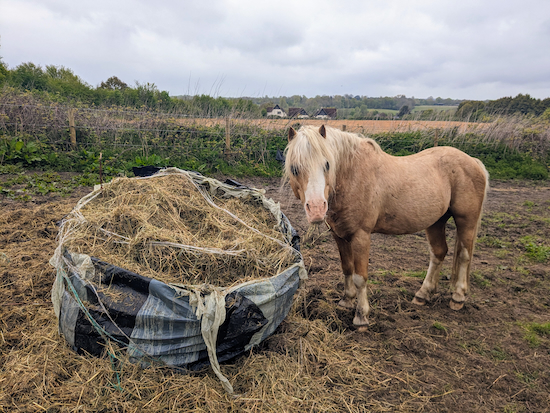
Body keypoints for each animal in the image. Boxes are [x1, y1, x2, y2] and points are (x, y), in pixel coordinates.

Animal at [284, 124, 492, 330]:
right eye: (294, 168)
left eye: (327, 164)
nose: (317, 209)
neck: (353, 176)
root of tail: (473, 161)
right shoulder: (340, 235)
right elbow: (346, 268)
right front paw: (346, 300)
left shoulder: (361, 236)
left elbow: (360, 277)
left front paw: (361, 317)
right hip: (436, 222)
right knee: (438, 253)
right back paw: (423, 294)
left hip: (466, 220)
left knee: (464, 256)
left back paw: (458, 297)